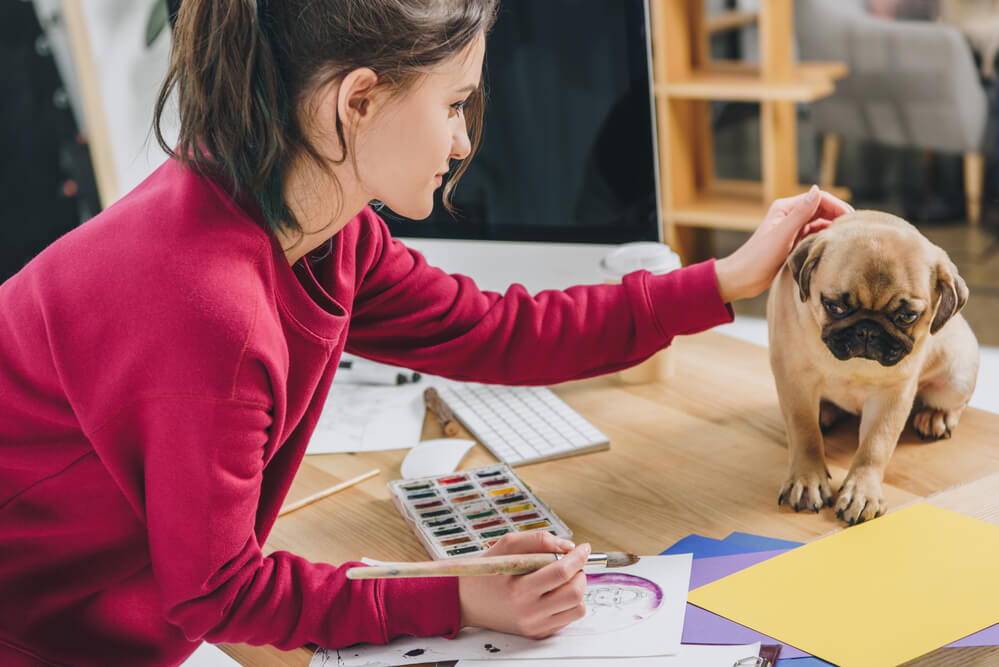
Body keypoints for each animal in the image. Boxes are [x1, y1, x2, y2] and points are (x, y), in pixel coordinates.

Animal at [768, 211, 980, 524]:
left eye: (907, 316)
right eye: (834, 306)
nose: (867, 330)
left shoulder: (891, 395)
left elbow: (874, 447)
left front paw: (862, 491)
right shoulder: (794, 380)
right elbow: (804, 433)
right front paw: (807, 480)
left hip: (957, 378)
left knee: (955, 404)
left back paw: (935, 417)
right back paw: (825, 412)